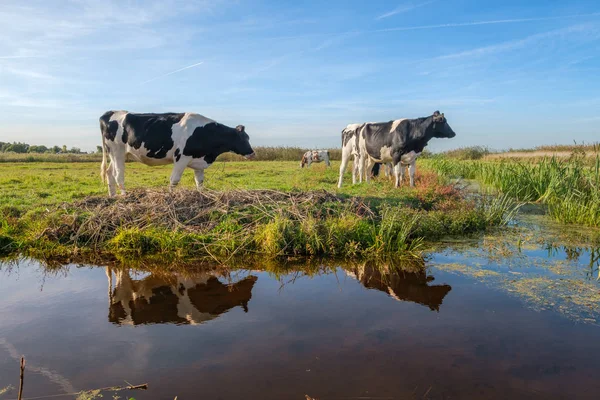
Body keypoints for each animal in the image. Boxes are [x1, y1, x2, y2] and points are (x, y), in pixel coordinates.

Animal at [99, 109, 255, 197]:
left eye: (248, 137)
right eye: (243, 138)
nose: (253, 153)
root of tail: (110, 113)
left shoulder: (198, 160)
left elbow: (199, 182)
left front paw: (201, 195)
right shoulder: (181, 157)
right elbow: (174, 180)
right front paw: (170, 195)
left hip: (115, 154)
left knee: (109, 172)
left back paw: (112, 196)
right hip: (117, 151)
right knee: (118, 175)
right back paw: (125, 196)